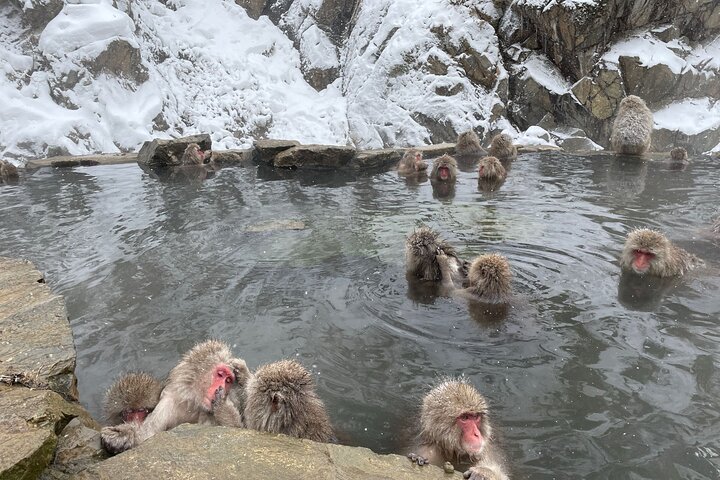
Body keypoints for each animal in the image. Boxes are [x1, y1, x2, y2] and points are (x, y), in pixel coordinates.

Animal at [100, 340, 250, 454]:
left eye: (228, 380)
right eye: (220, 374)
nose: (222, 387)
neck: (195, 406)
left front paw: (223, 406)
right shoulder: (167, 404)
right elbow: (147, 434)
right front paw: (123, 434)